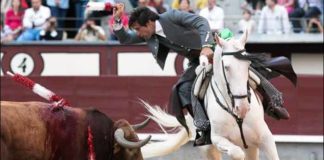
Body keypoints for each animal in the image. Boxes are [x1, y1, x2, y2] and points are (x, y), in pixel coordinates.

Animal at [142, 31, 280, 160]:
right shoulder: (217, 139)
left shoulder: (265, 138)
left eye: (248, 64)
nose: (243, 108)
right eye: (226, 67)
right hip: (208, 149)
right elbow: (236, 153)